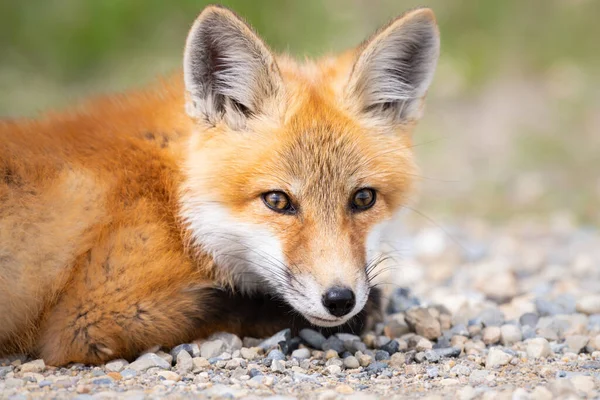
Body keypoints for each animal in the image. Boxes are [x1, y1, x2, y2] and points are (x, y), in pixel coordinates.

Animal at [1, 4, 440, 366]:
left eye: (363, 198)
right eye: (277, 201)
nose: (339, 300)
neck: (173, 201)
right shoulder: (94, 314)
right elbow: (237, 304)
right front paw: (362, 312)